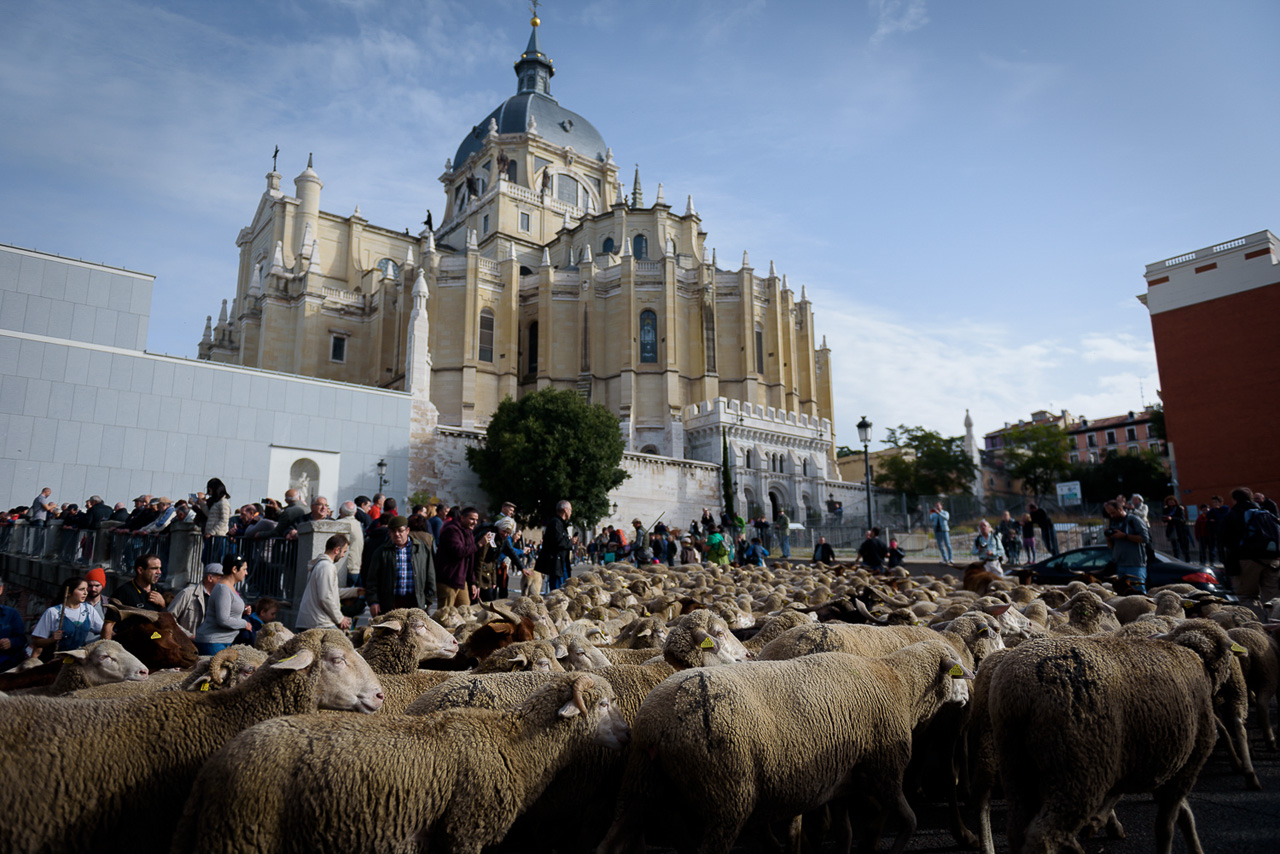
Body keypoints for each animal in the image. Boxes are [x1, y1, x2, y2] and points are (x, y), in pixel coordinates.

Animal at [170, 676, 629, 854]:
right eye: (602, 704)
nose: (628, 733)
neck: (511, 743)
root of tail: (211, 772)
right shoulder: (464, 832)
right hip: (244, 836)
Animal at [977, 622, 1239, 854]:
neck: (1196, 659)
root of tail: (1020, 693)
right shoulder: (1186, 765)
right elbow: (1165, 826)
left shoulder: (1148, 759)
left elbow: (1183, 816)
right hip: (1078, 768)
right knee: (1044, 837)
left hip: (1017, 764)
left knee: (1017, 829)